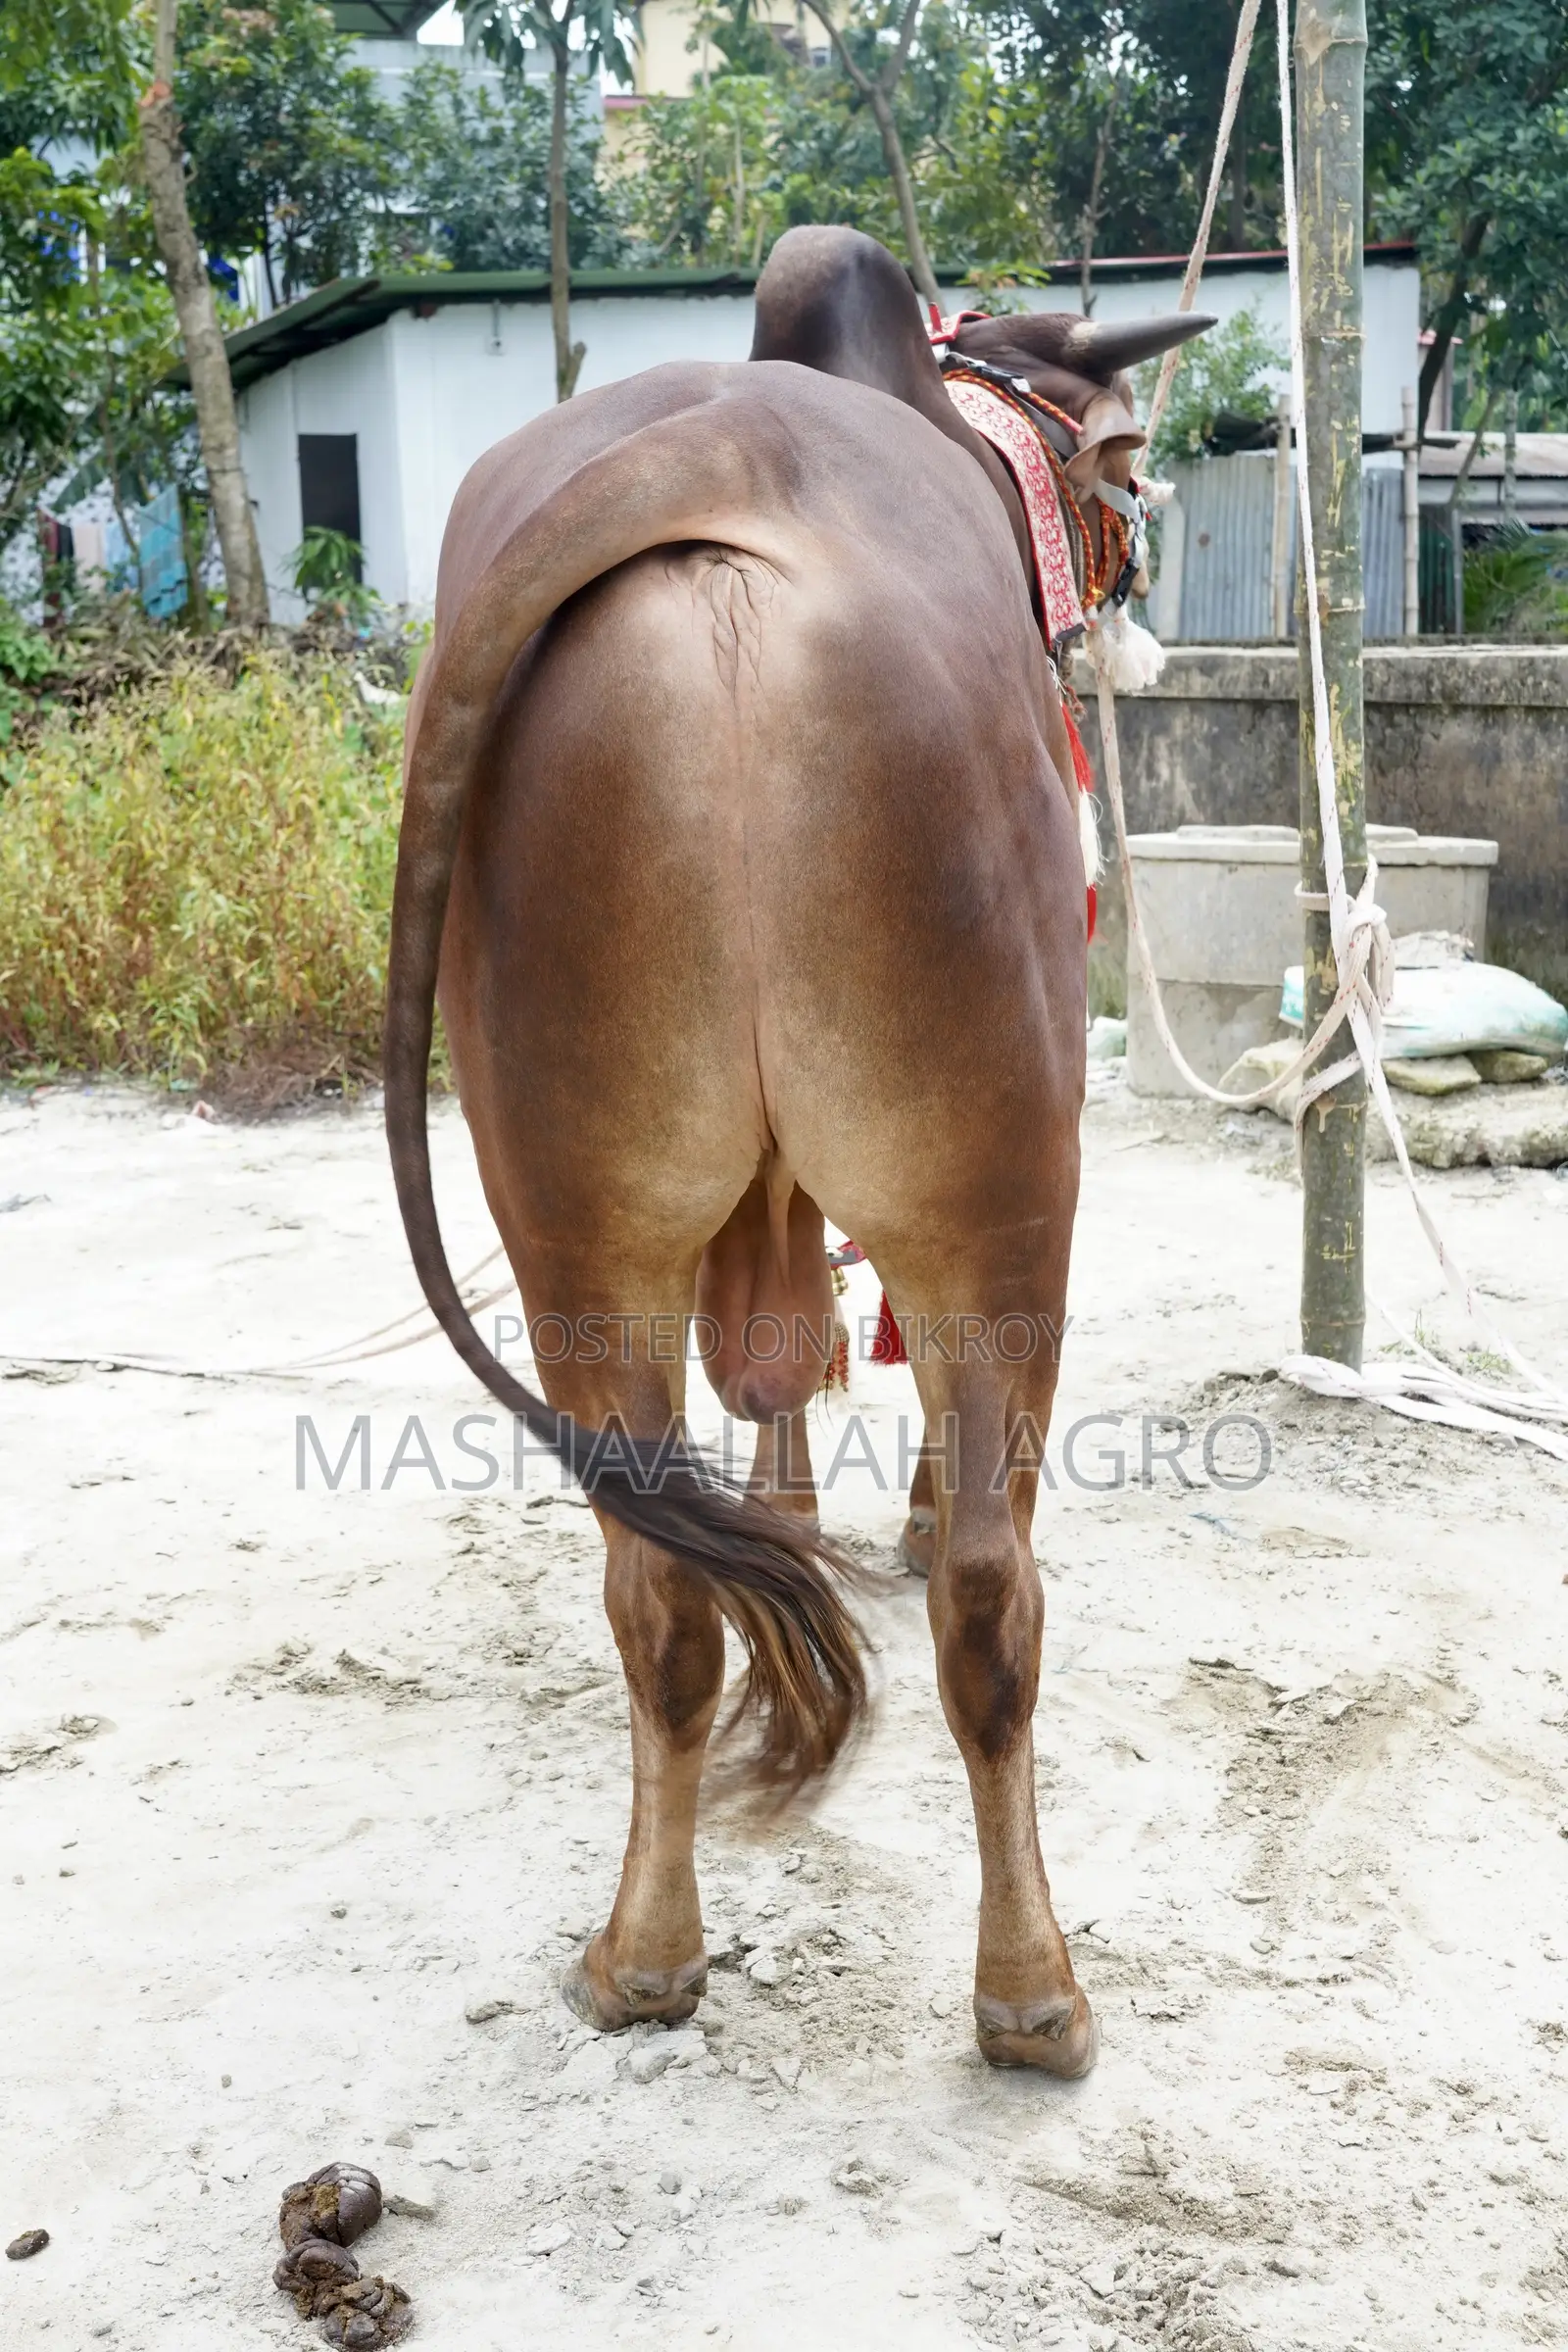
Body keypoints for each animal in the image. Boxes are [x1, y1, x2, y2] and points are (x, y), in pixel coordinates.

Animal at [385, 225, 1210, 2077]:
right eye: (1113, 464)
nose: (1141, 628)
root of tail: (704, 458)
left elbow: (776, 1380)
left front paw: (793, 1505)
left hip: (576, 1216)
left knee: (657, 1594)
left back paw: (642, 1952)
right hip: (998, 1185)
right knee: (990, 1593)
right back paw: (1033, 1993)